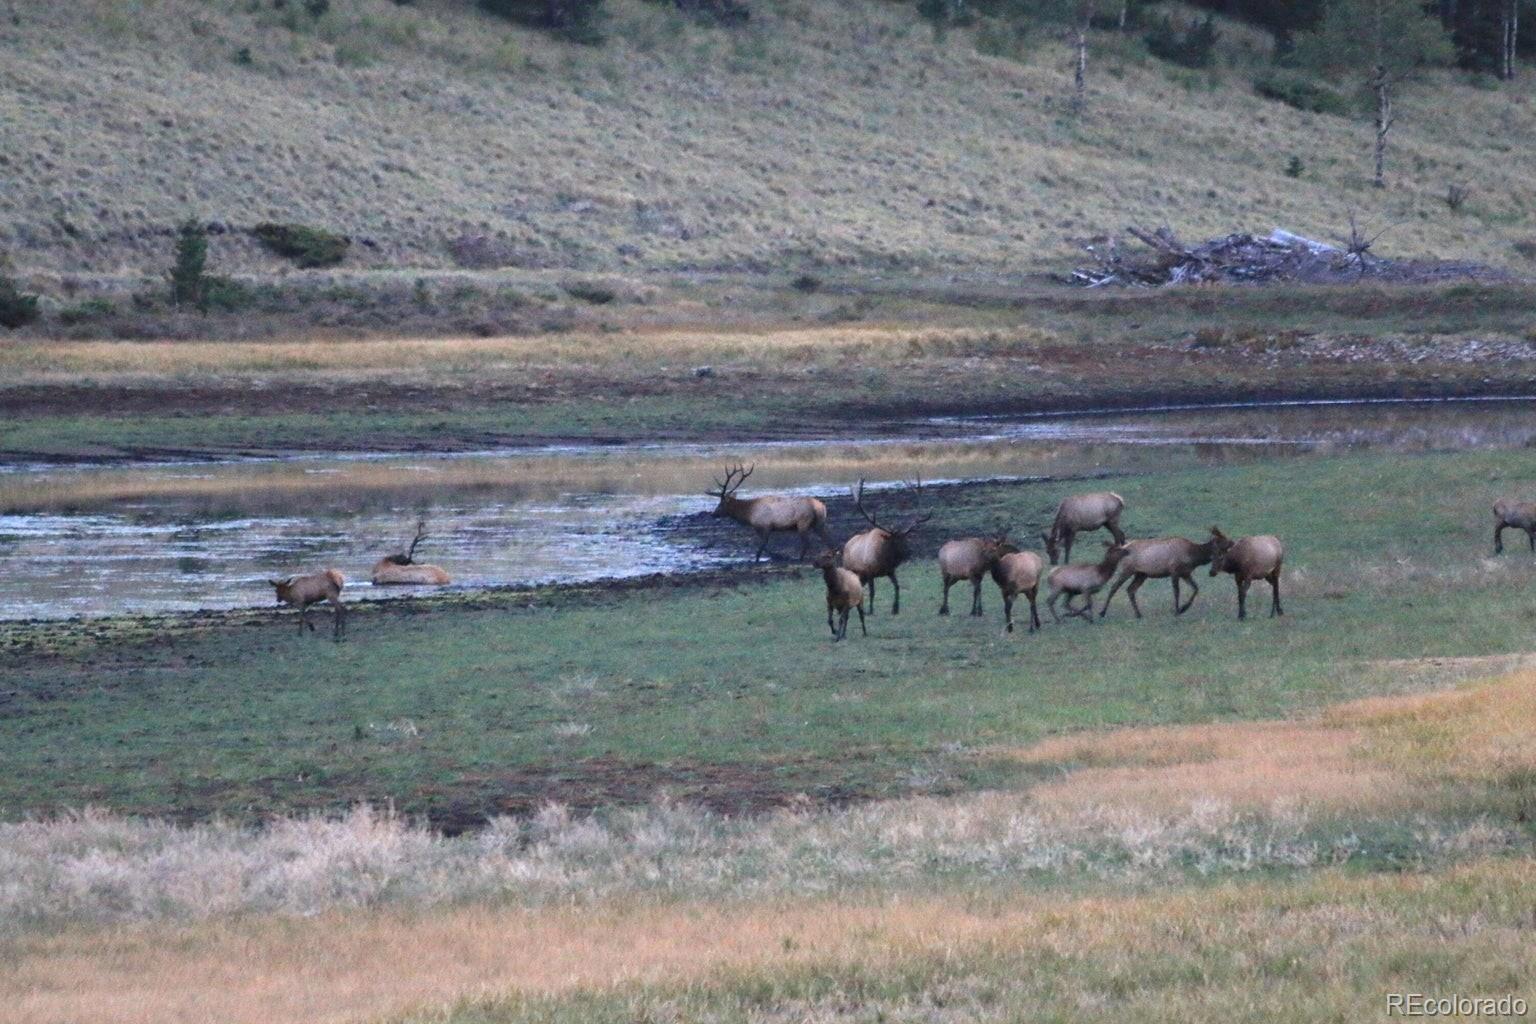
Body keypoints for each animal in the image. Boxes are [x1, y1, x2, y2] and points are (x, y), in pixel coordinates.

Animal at [841, 478, 933, 617]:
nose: (909, 552)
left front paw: (895, 609)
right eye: (895, 541)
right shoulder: (869, 572)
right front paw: (871, 611)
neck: (884, 559)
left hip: (861, 576)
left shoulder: (890, 571)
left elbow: (897, 586)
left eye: (905, 539)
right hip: (851, 570)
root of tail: (846, 545)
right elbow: (872, 592)